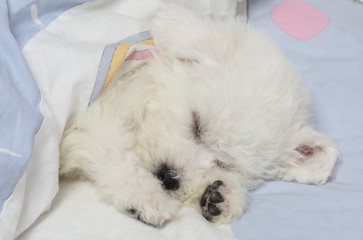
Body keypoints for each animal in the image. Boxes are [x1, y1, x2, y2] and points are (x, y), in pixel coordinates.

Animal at [58, 4, 340, 228]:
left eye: (225, 164)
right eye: (196, 123)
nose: (169, 177)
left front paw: (222, 195)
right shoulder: (95, 119)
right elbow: (116, 153)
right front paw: (146, 195)